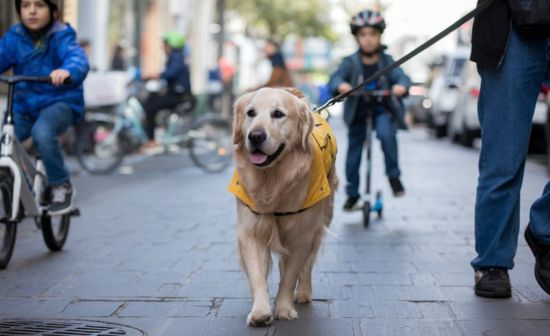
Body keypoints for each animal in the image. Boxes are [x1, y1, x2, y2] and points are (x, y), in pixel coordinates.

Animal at [227, 86, 336, 326]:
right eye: (250, 113)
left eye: (278, 114)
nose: (255, 136)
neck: (274, 180)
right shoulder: (251, 230)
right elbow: (258, 274)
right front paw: (260, 311)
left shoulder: (302, 234)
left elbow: (290, 275)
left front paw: (284, 308)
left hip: (322, 220)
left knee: (307, 264)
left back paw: (303, 293)